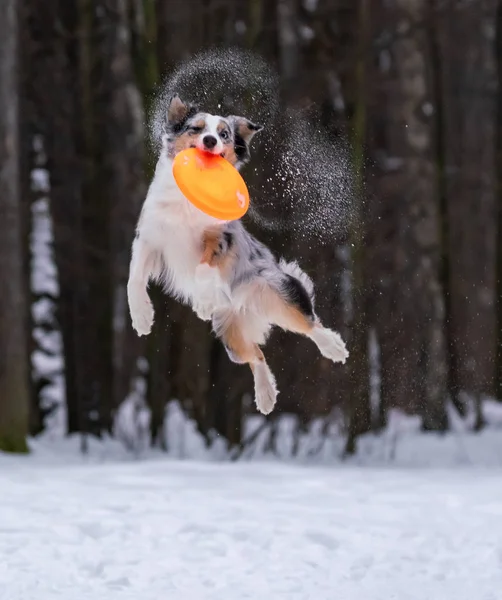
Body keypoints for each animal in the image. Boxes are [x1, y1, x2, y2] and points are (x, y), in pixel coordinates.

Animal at [127, 96, 350, 414]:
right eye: (196, 128)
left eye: (224, 134)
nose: (210, 140)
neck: (187, 203)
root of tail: (247, 308)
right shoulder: (150, 237)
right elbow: (134, 278)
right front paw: (143, 318)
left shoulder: (222, 238)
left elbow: (203, 268)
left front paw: (203, 302)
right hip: (230, 334)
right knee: (256, 355)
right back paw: (266, 395)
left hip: (275, 289)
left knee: (309, 322)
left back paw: (333, 346)